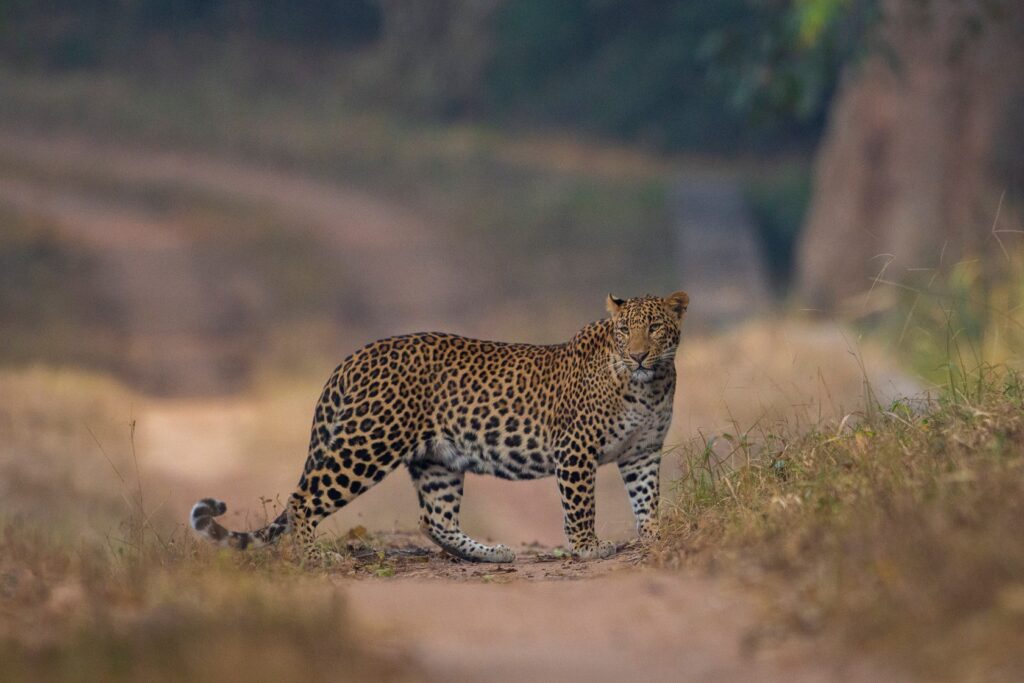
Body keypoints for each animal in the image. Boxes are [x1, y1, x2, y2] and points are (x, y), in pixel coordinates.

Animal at [192, 290, 688, 565]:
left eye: (656, 328)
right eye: (625, 331)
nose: (639, 355)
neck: (648, 384)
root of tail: (352, 358)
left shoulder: (642, 452)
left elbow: (646, 498)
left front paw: (656, 535)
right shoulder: (576, 450)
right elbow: (580, 505)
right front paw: (588, 548)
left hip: (436, 461)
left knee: (435, 519)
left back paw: (490, 554)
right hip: (367, 445)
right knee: (302, 499)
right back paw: (317, 557)